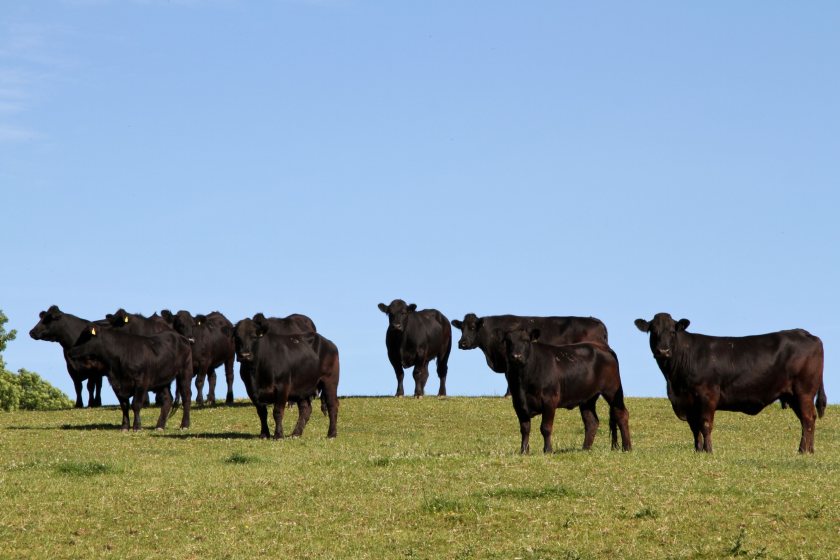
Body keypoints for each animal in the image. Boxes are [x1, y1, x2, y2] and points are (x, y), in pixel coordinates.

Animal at [498, 328, 632, 456]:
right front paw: (524, 451)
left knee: (621, 414)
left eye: (526, 340)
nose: (516, 356)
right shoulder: (518, 402)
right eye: (508, 341)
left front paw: (548, 450)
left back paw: (627, 448)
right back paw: (585, 449)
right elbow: (525, 429)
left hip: (612, 390)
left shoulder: (549, 400)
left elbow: (545, 427)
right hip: (587, 398)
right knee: (591, 421)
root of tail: (603, 347)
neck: (524, 379)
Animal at [636, 312, 828, 452]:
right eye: (653, 331)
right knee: (807, 419)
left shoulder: (707, 395)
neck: (675, 383)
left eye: (673, 331)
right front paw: (697, 450)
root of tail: (805, 333)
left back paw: (803, 450)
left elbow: (705, 424)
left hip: (804, 391)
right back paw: (809, 450)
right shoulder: (688, 402)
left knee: (808, 418)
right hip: (793, 395)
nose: (663, 351)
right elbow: (694, 428)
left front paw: (709, 450)